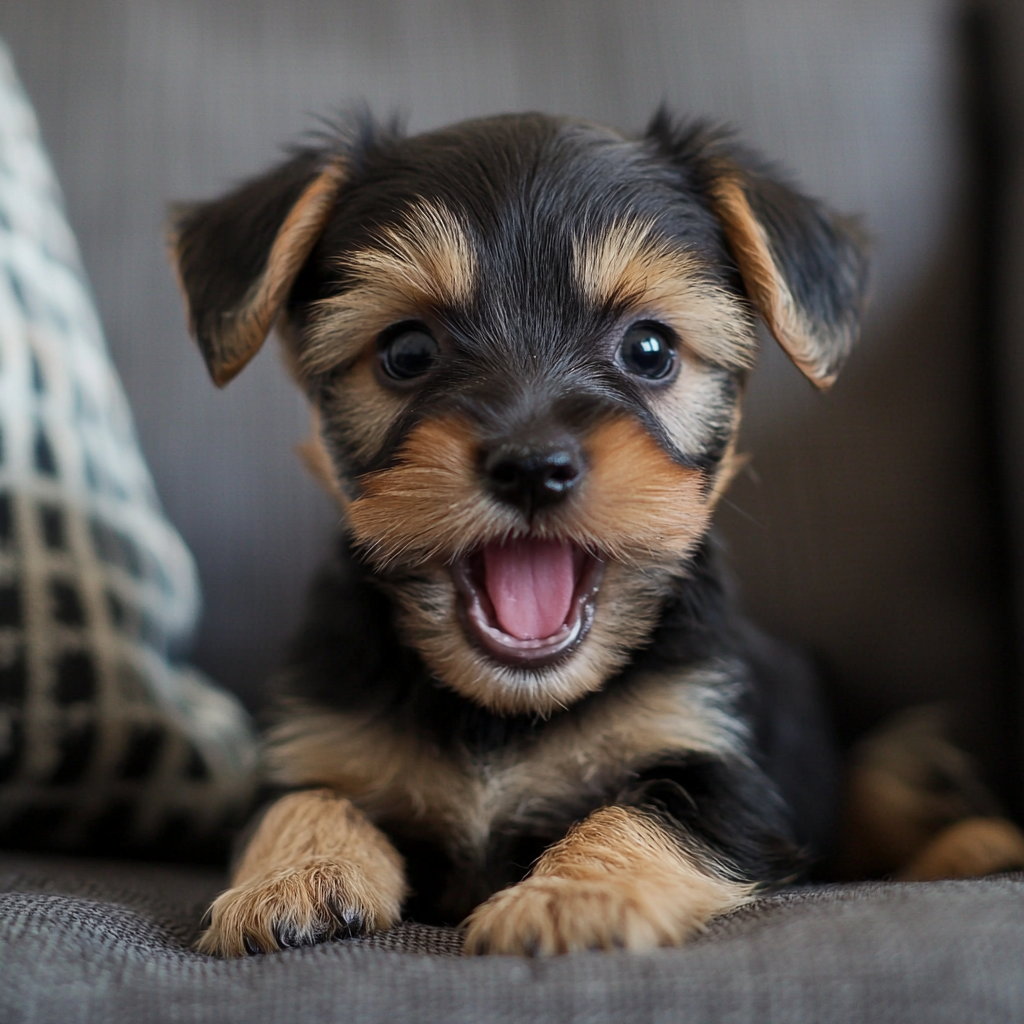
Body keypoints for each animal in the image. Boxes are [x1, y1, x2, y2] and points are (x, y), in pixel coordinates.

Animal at [165, 108, 864, 954]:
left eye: (650, 349)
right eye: (406, 351)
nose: (533, 466)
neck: (503, 710)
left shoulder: (726, 767)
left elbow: (652, 810)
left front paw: (571, 895)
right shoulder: (314, 740)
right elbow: (303, 796)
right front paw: (297, 873)